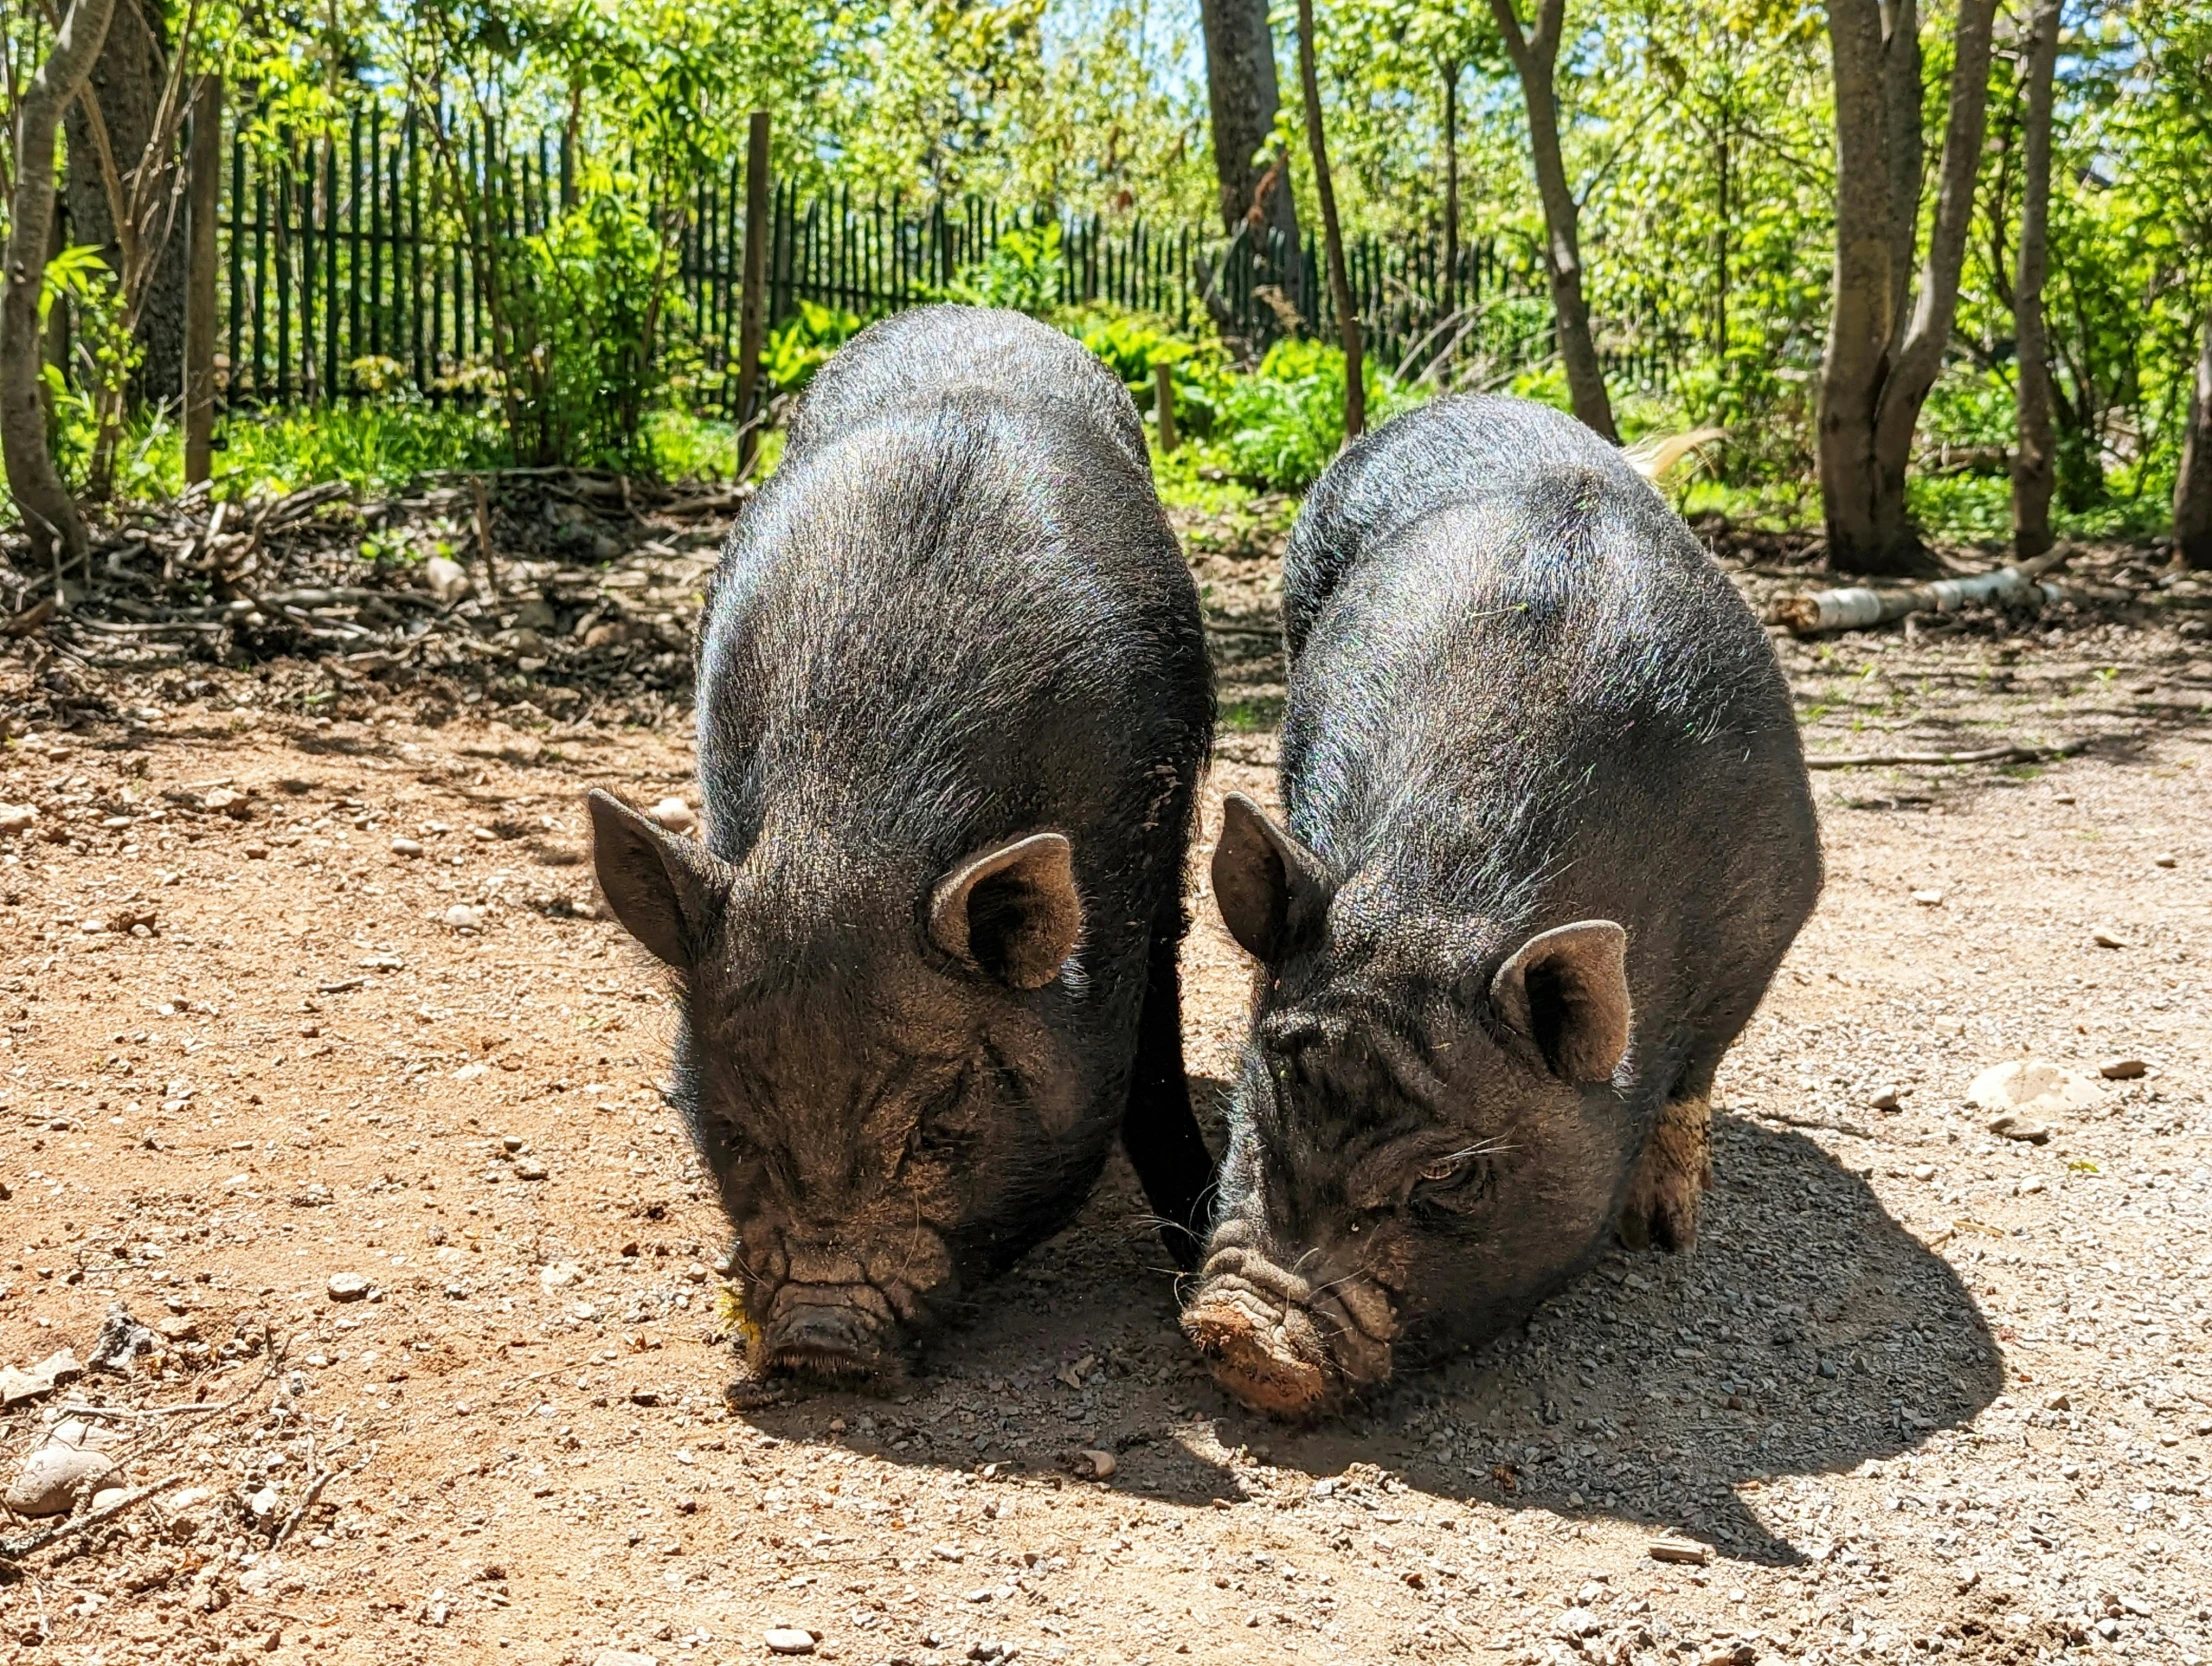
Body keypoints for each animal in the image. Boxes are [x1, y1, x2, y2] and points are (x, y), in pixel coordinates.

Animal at [588, 305, 1212, 1380]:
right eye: (735, 1124)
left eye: (936, 1123)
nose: (819, 1337)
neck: (852, 831)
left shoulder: (1158, 844)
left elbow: (1157, 1041)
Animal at [1185, 393, 1822, 1415]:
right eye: (1263, 1090)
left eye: (1449, 1171)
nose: (1246, 1337)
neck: (1438, 906)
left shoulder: (1774, 916)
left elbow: (1696, 1077)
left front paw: (1665, 1234)